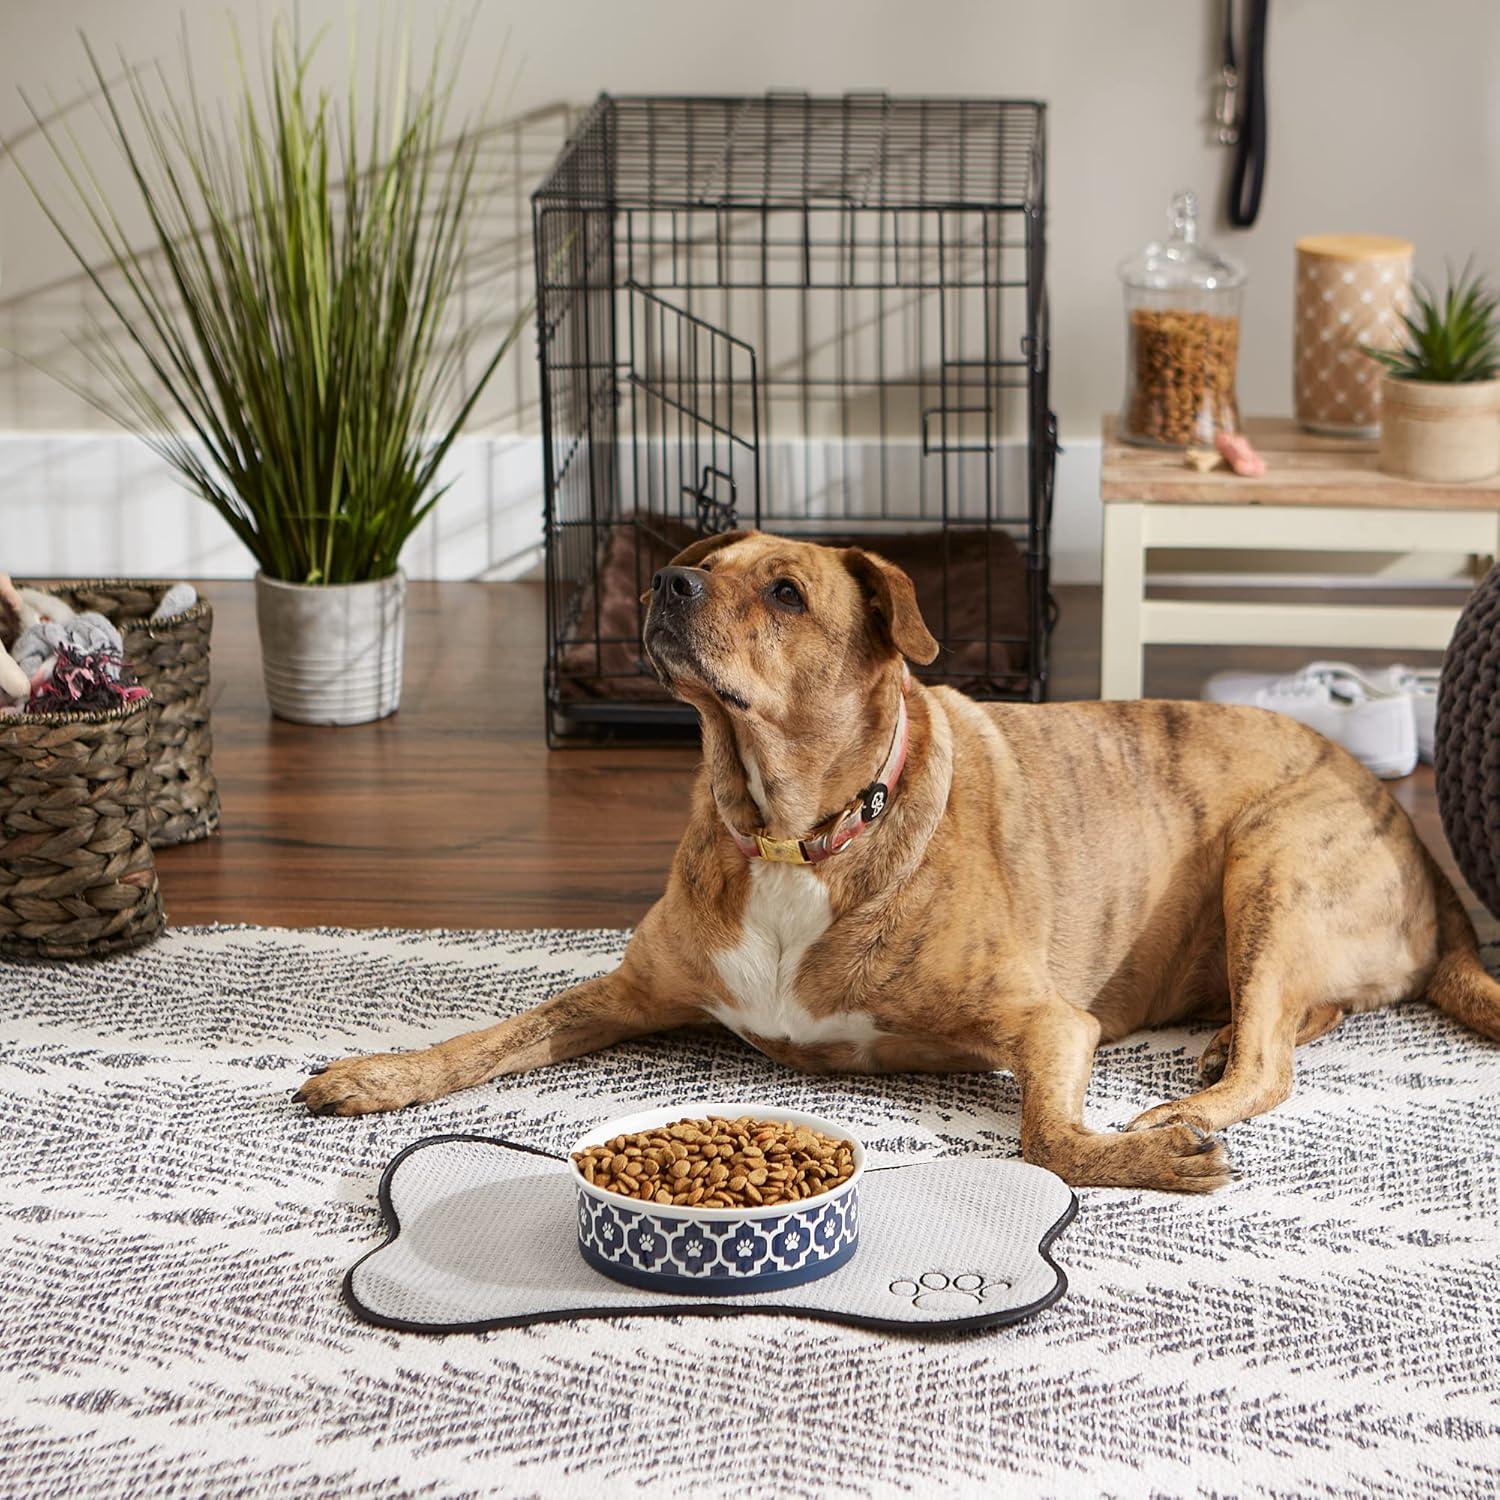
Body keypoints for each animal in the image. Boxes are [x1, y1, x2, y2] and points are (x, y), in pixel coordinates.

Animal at [295, 534, 1500, 1188]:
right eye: (704, 564)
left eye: (786, 592)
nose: (664, 585)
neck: (793, 826)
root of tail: (1421, 851)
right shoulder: (628, 992)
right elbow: (491, 1036)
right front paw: (379, 1073)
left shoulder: (1050, 1026)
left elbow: (1049, 1137)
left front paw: (1138, 1159)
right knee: (1291, 1023)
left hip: (1272, 858)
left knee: (1271, 1060)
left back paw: (1183, 1112)